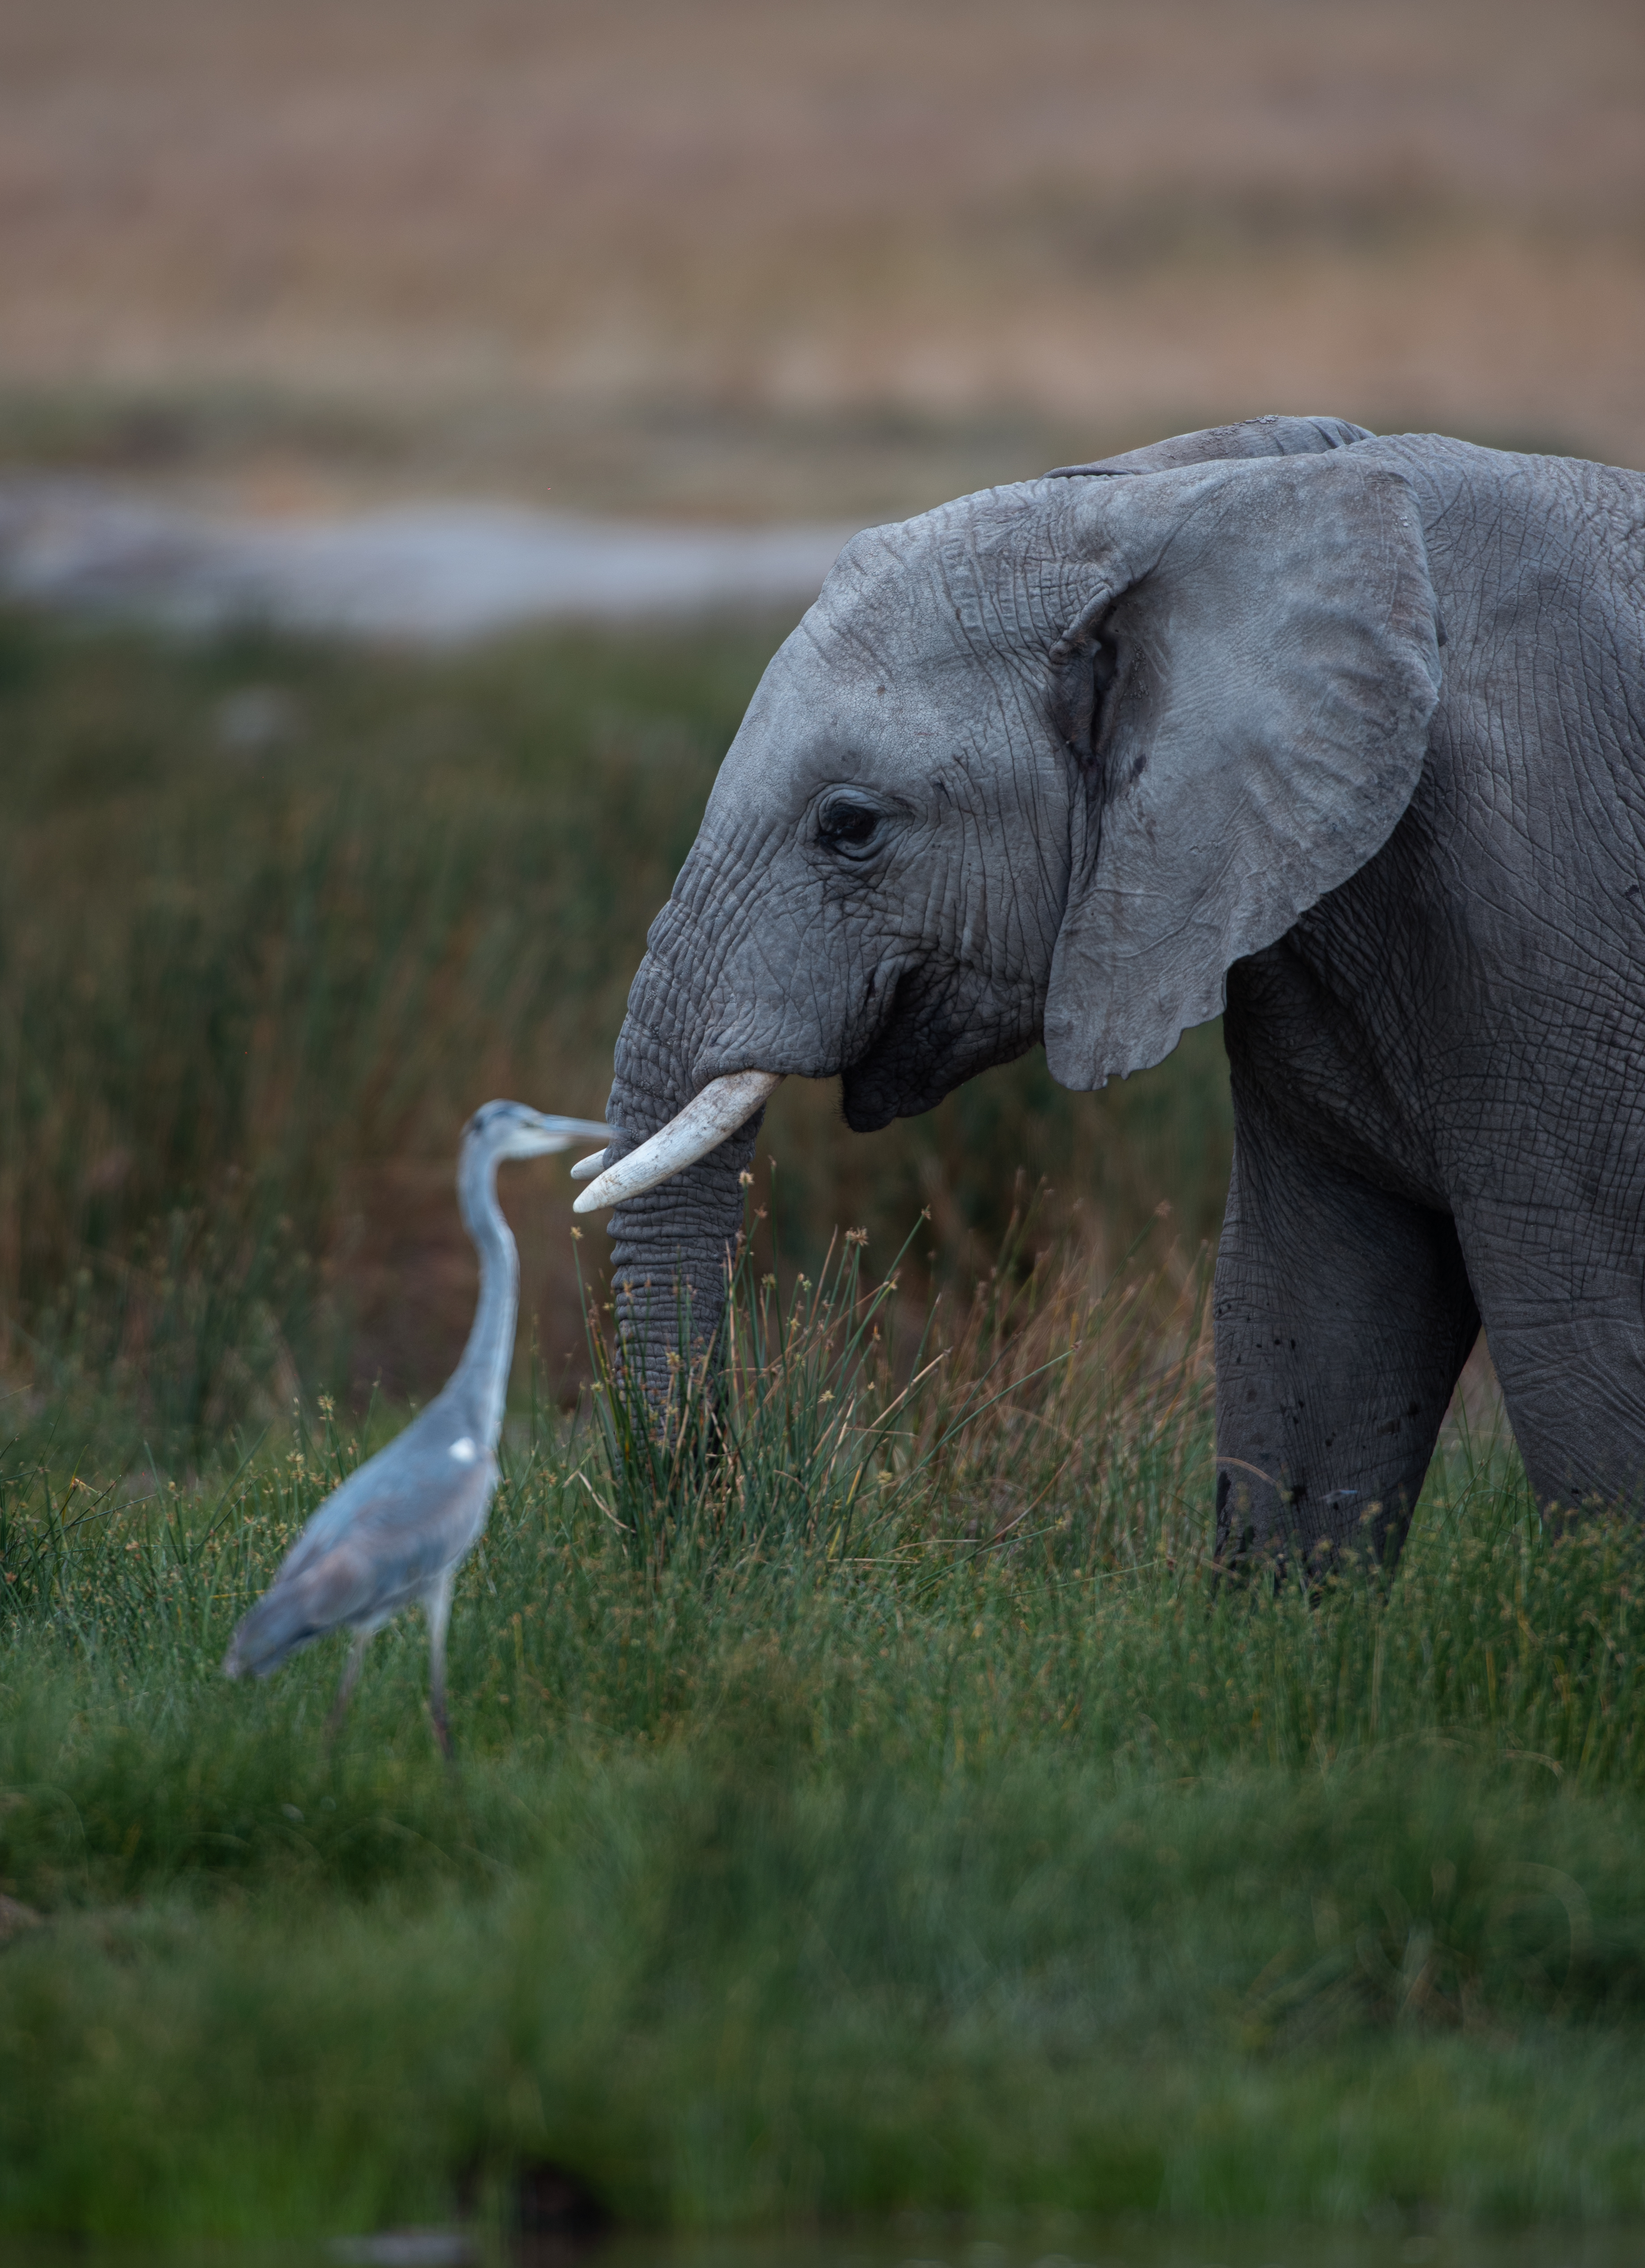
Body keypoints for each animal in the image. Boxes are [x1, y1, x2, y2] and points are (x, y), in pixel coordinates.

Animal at [574, 417, 1642, 1569]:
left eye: (849, 826)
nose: (708, 1494)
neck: (1210, 500)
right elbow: (1315, 1317)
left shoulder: (1544, 905)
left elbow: (1586, 1345)